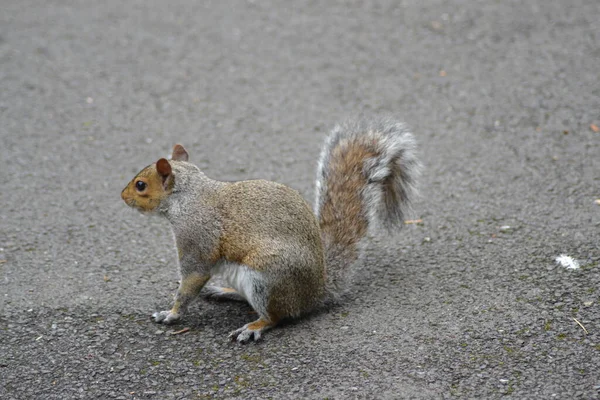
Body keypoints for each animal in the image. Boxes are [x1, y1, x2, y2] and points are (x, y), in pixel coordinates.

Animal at [120, 117, 422, 342]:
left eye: (140, 185)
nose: (122, 196)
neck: (188, 196)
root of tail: (316, 293)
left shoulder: (196, 241)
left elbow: (191, 281)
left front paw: (170, 314)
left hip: (267, 277)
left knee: (277, 316)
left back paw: (253, 327)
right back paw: (225, 292)